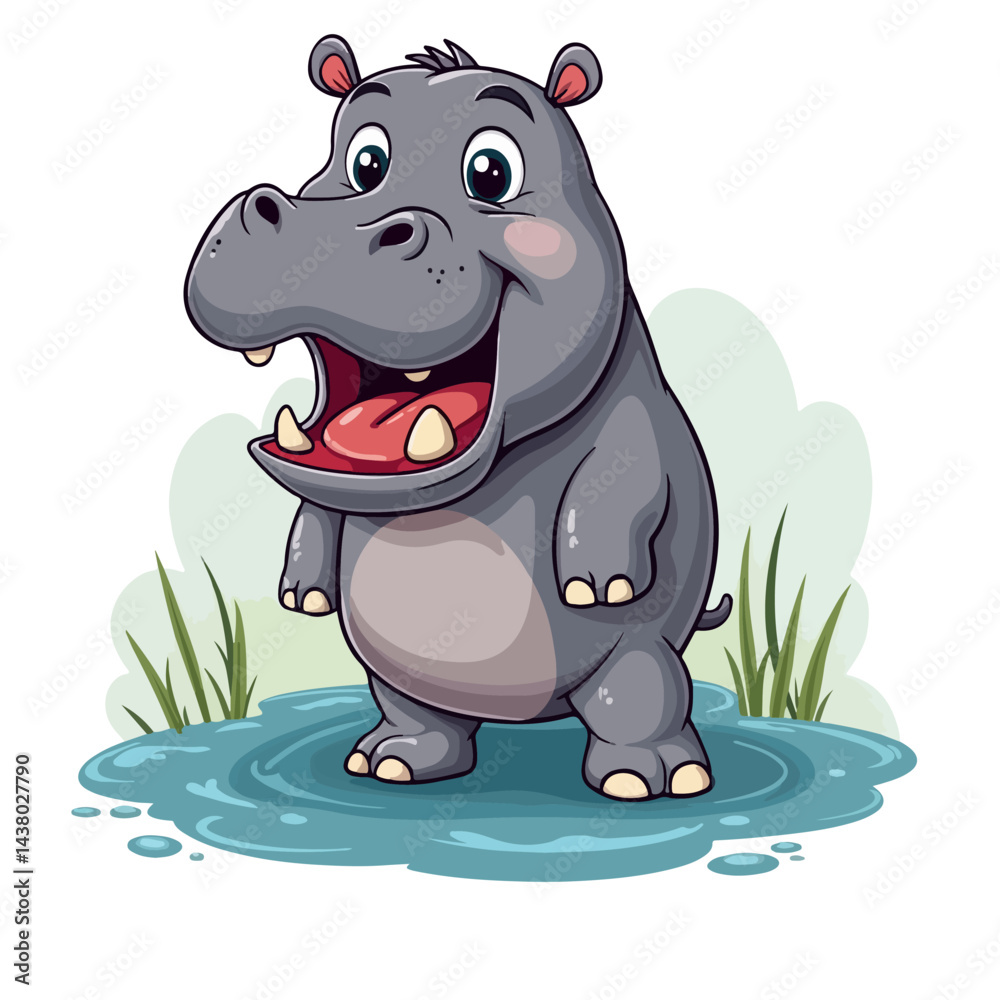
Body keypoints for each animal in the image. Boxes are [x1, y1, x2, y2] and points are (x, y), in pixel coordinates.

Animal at [184, 36, 731, 801]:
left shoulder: (635, 420)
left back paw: (652, 779)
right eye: (365, 162)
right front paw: (304, 592)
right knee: (420, 714)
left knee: (640, 699)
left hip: (636, 657)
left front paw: (599, 582)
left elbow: (625, 477)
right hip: (400, 677)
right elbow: (317, 506)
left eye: (491, 171)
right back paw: (391, 762)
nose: (309, 223)